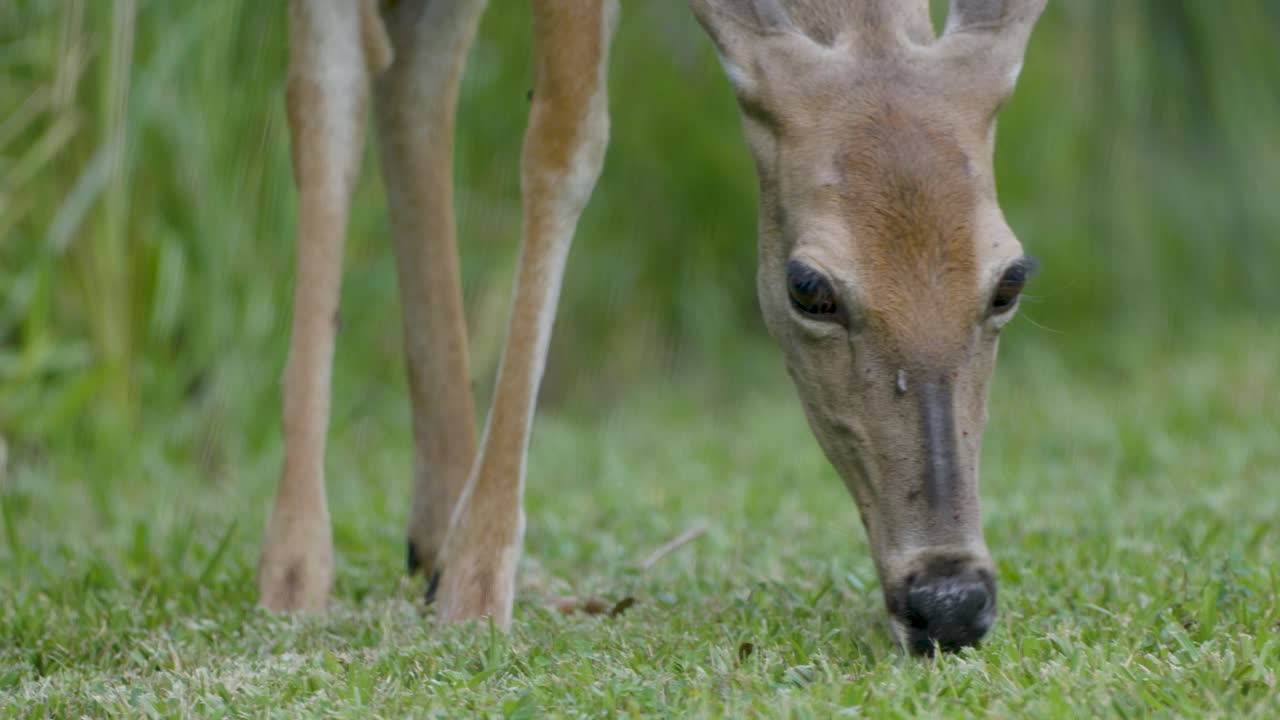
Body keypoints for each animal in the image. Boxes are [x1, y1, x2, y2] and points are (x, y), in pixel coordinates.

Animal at [256, 0, 1047, 655]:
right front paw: (477, 589)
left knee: (416, 68)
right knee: (329, 95)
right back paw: (303, 569)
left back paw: (432, 537)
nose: (949, 601)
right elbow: (564, 141)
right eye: (808, 288)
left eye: (1011, 278)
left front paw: (463, 565)